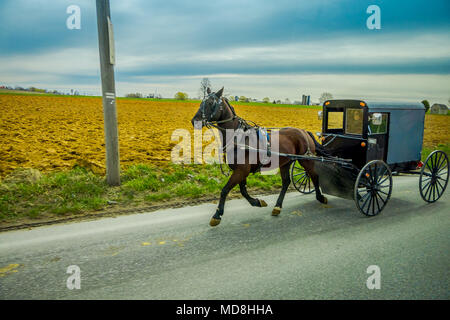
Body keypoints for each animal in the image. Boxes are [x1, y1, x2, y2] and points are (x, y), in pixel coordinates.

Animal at [191, 87, 326, 226]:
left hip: (306, 160)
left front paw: (217, 215)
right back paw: (277, 206)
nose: (194, 121)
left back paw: (320, 197)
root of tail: (304, 131)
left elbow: (225, 190)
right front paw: (257, 202)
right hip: (285, 162)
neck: (238, 138)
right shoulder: (241, 171)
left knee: (313, 175)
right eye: (202, 101)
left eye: (211, 102)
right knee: (286, 182)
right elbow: (243, 191)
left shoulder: (241, 170)